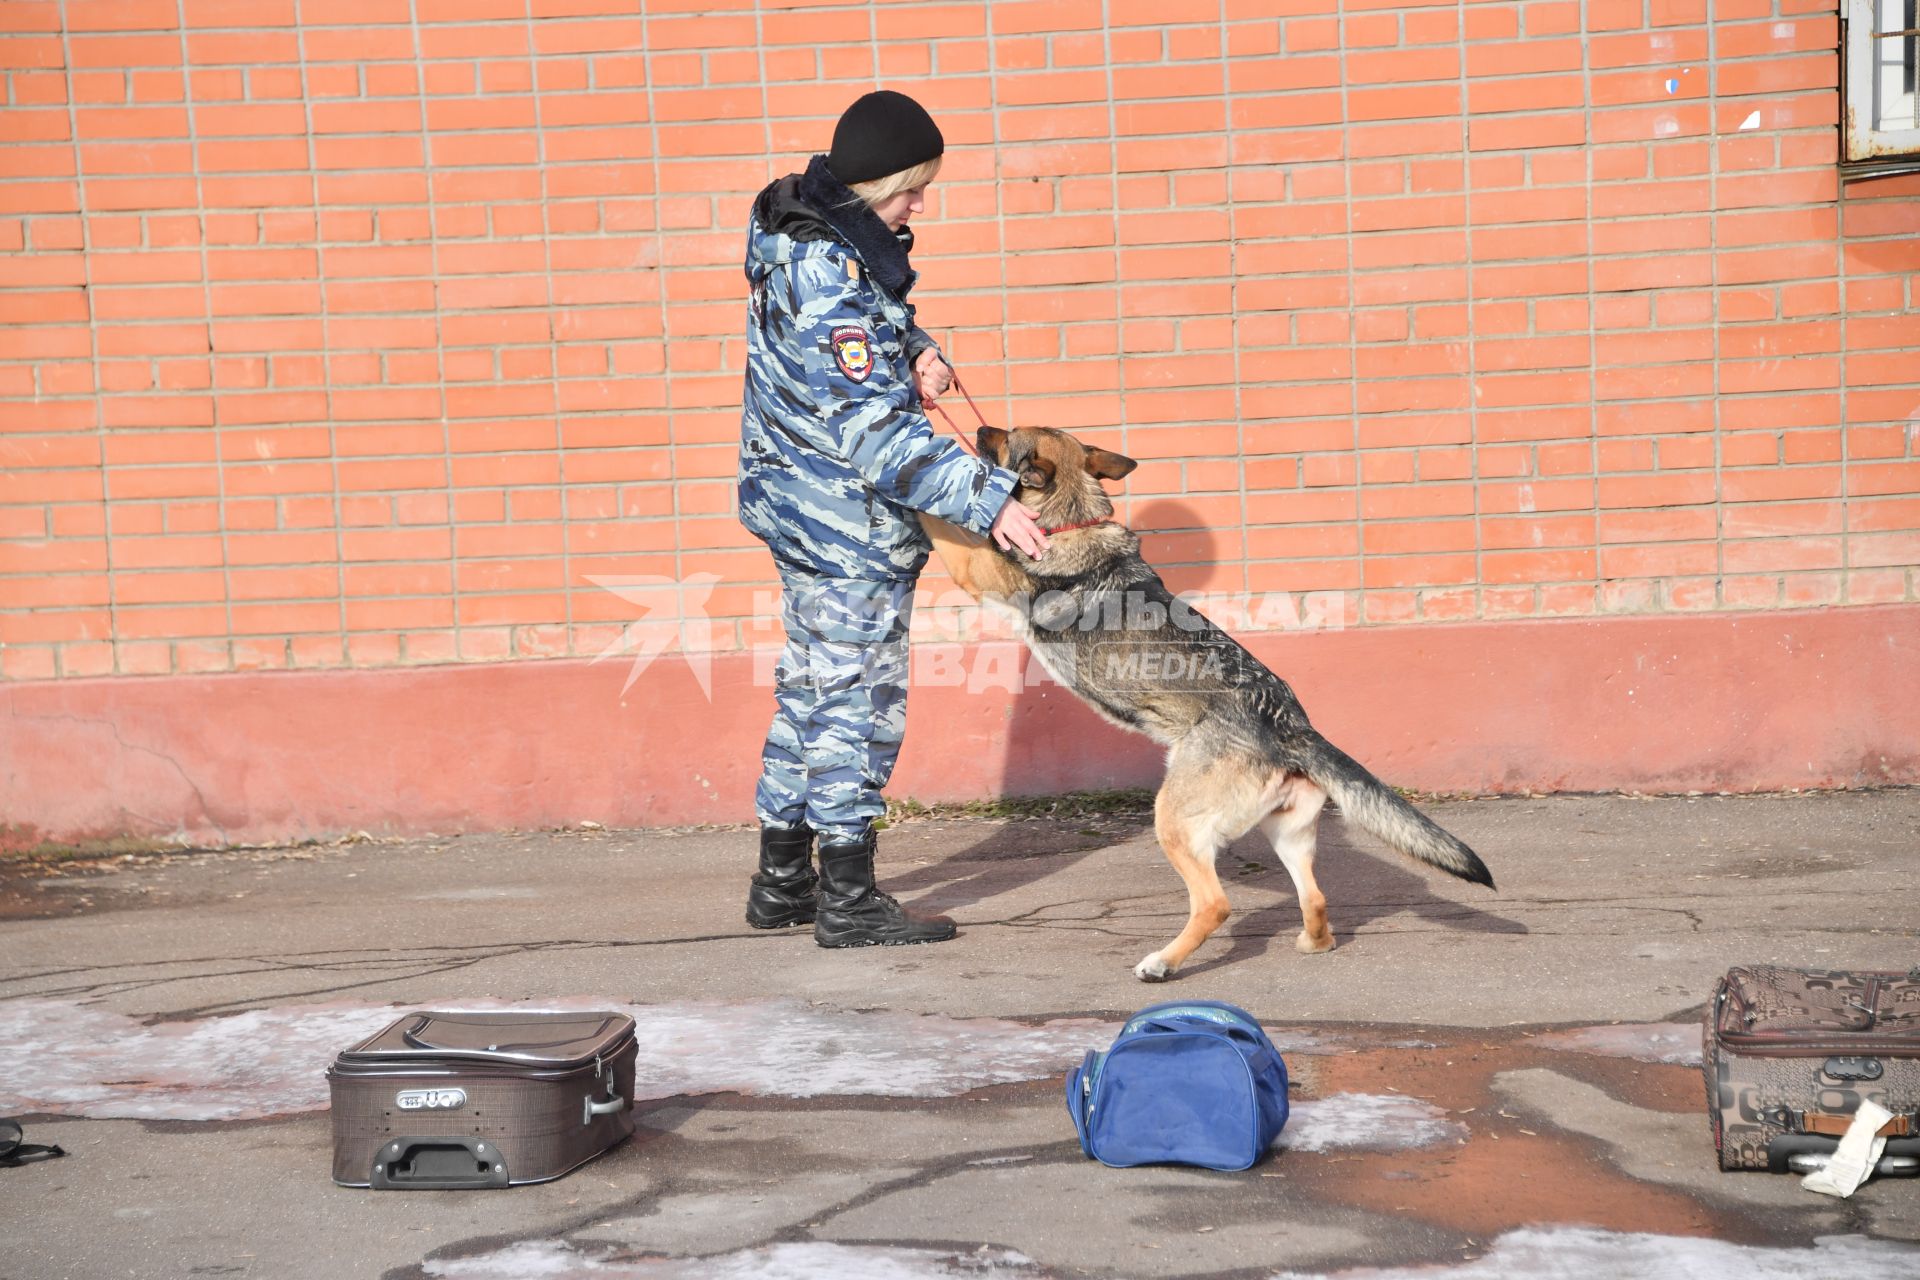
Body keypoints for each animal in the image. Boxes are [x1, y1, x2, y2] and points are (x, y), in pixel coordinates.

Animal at [921, 427, 1489, 982]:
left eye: (1004, 437)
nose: (978, 427)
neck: (1074, 513)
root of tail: (1292, 725)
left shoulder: (975, 569)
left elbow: (940, 522)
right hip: (1287, 833)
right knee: (1316, 899)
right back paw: (1310, 942)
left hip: (1173, 819)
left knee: (1215, 905)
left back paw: (1162, 963)